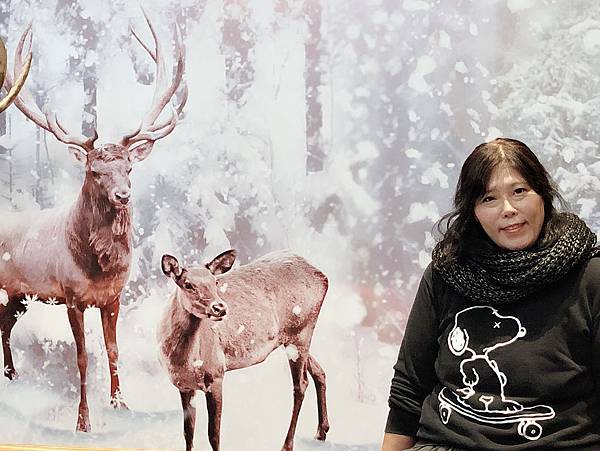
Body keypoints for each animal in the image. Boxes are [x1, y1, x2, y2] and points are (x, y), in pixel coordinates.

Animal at [0, 13, 185, 432]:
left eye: (129, 167)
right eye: (96, 171)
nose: (123, 195)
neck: (98, 268)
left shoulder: (113, 297)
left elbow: (114, 350)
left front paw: (121, 404)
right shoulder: (71, 298)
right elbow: (82, 357)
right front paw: (83, 421)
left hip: (20, 294)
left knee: (3, 323)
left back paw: (11, 376)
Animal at [159, 249, 330, 451]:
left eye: (215, 282)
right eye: (188, 284)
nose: (220, 308)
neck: (182, 360)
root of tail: (323, 276)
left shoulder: (216, 375)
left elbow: (214, 434)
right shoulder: (184, 386)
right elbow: (188, 432)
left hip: (301, 332)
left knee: (301, 384)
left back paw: (287, 445)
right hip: (291, 338)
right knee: (319, 371)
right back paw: (321, 432)